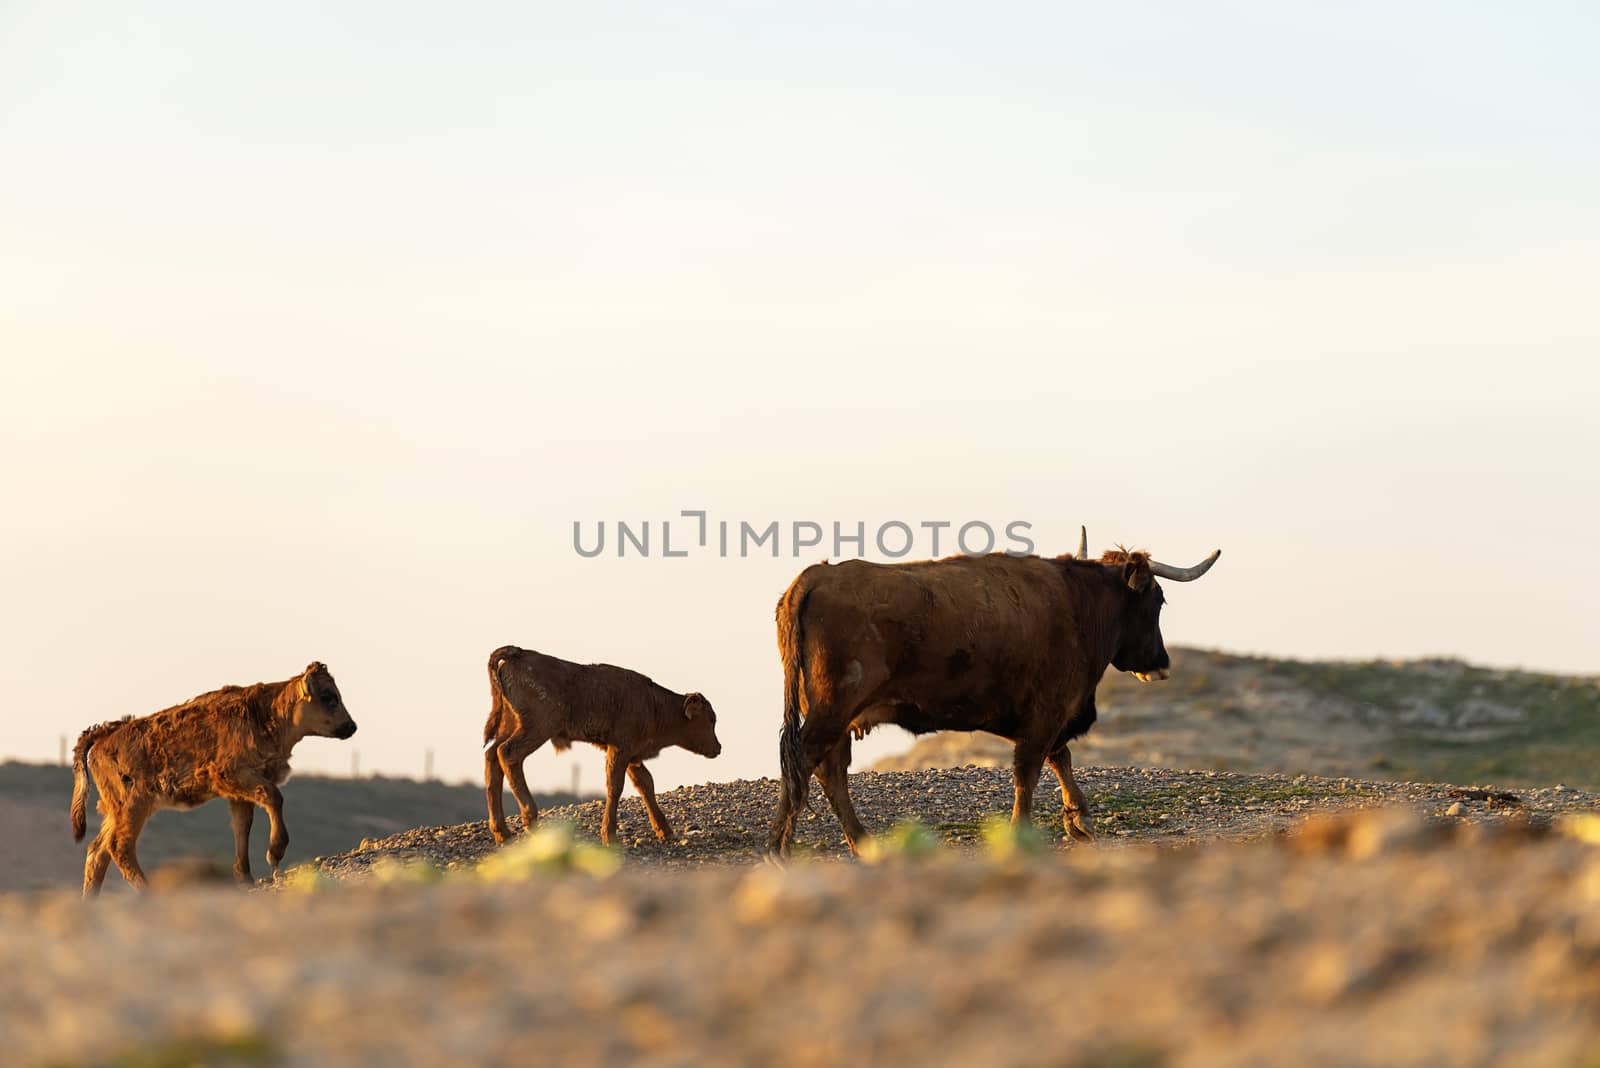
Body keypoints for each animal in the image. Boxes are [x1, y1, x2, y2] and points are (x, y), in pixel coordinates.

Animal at [69, 658, 356, 895]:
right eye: (328, 696)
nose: (351, 726)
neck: (264, 713)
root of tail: (106, 733)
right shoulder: (237, 776)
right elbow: (274, 798)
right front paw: (275, 852)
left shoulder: (241, 791)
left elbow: (242, 826)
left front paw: (245, 877)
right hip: (133, 805)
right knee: (119, 847)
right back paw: (148, 892)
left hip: (116, 810)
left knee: (98, 851)